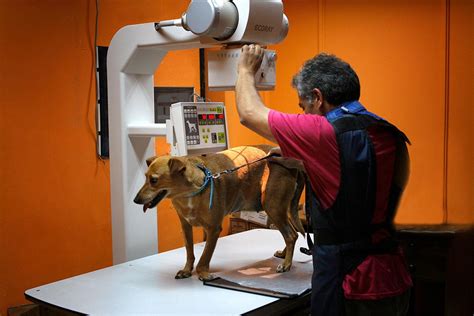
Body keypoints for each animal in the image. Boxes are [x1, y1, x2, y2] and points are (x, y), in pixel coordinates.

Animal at [134, 144, 304, 280]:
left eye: (154, 180)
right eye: (145, 177)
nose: (135, 200)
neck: (189, 192)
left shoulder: (213, 229)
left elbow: (205, 255)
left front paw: (203, 273)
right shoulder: (186, 226)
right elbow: (190, 252)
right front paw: (187, 270)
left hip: (272, 206)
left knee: (290, 235)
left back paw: (286, 264)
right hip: (278, 209)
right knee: (293, 233)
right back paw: (284, 255)